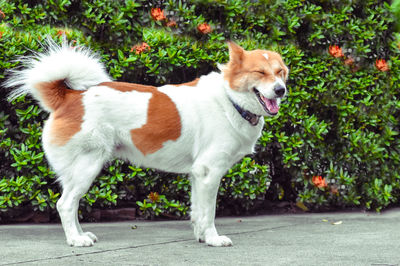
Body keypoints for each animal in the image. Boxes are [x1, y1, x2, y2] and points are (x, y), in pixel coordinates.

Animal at [4, 38, 290, 246]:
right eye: (260, 72)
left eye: (280, 73)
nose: (281, 90)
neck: (230, 100)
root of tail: (70, 97)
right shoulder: (210, 173)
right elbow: (208, 212)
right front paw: (212, 239)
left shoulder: (198, 175)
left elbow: (198, 211)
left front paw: (201, 236)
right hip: (87, 166)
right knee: (65, 204)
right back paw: (75, 240)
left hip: (79, 170)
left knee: (70, 204)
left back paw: (81, 234)